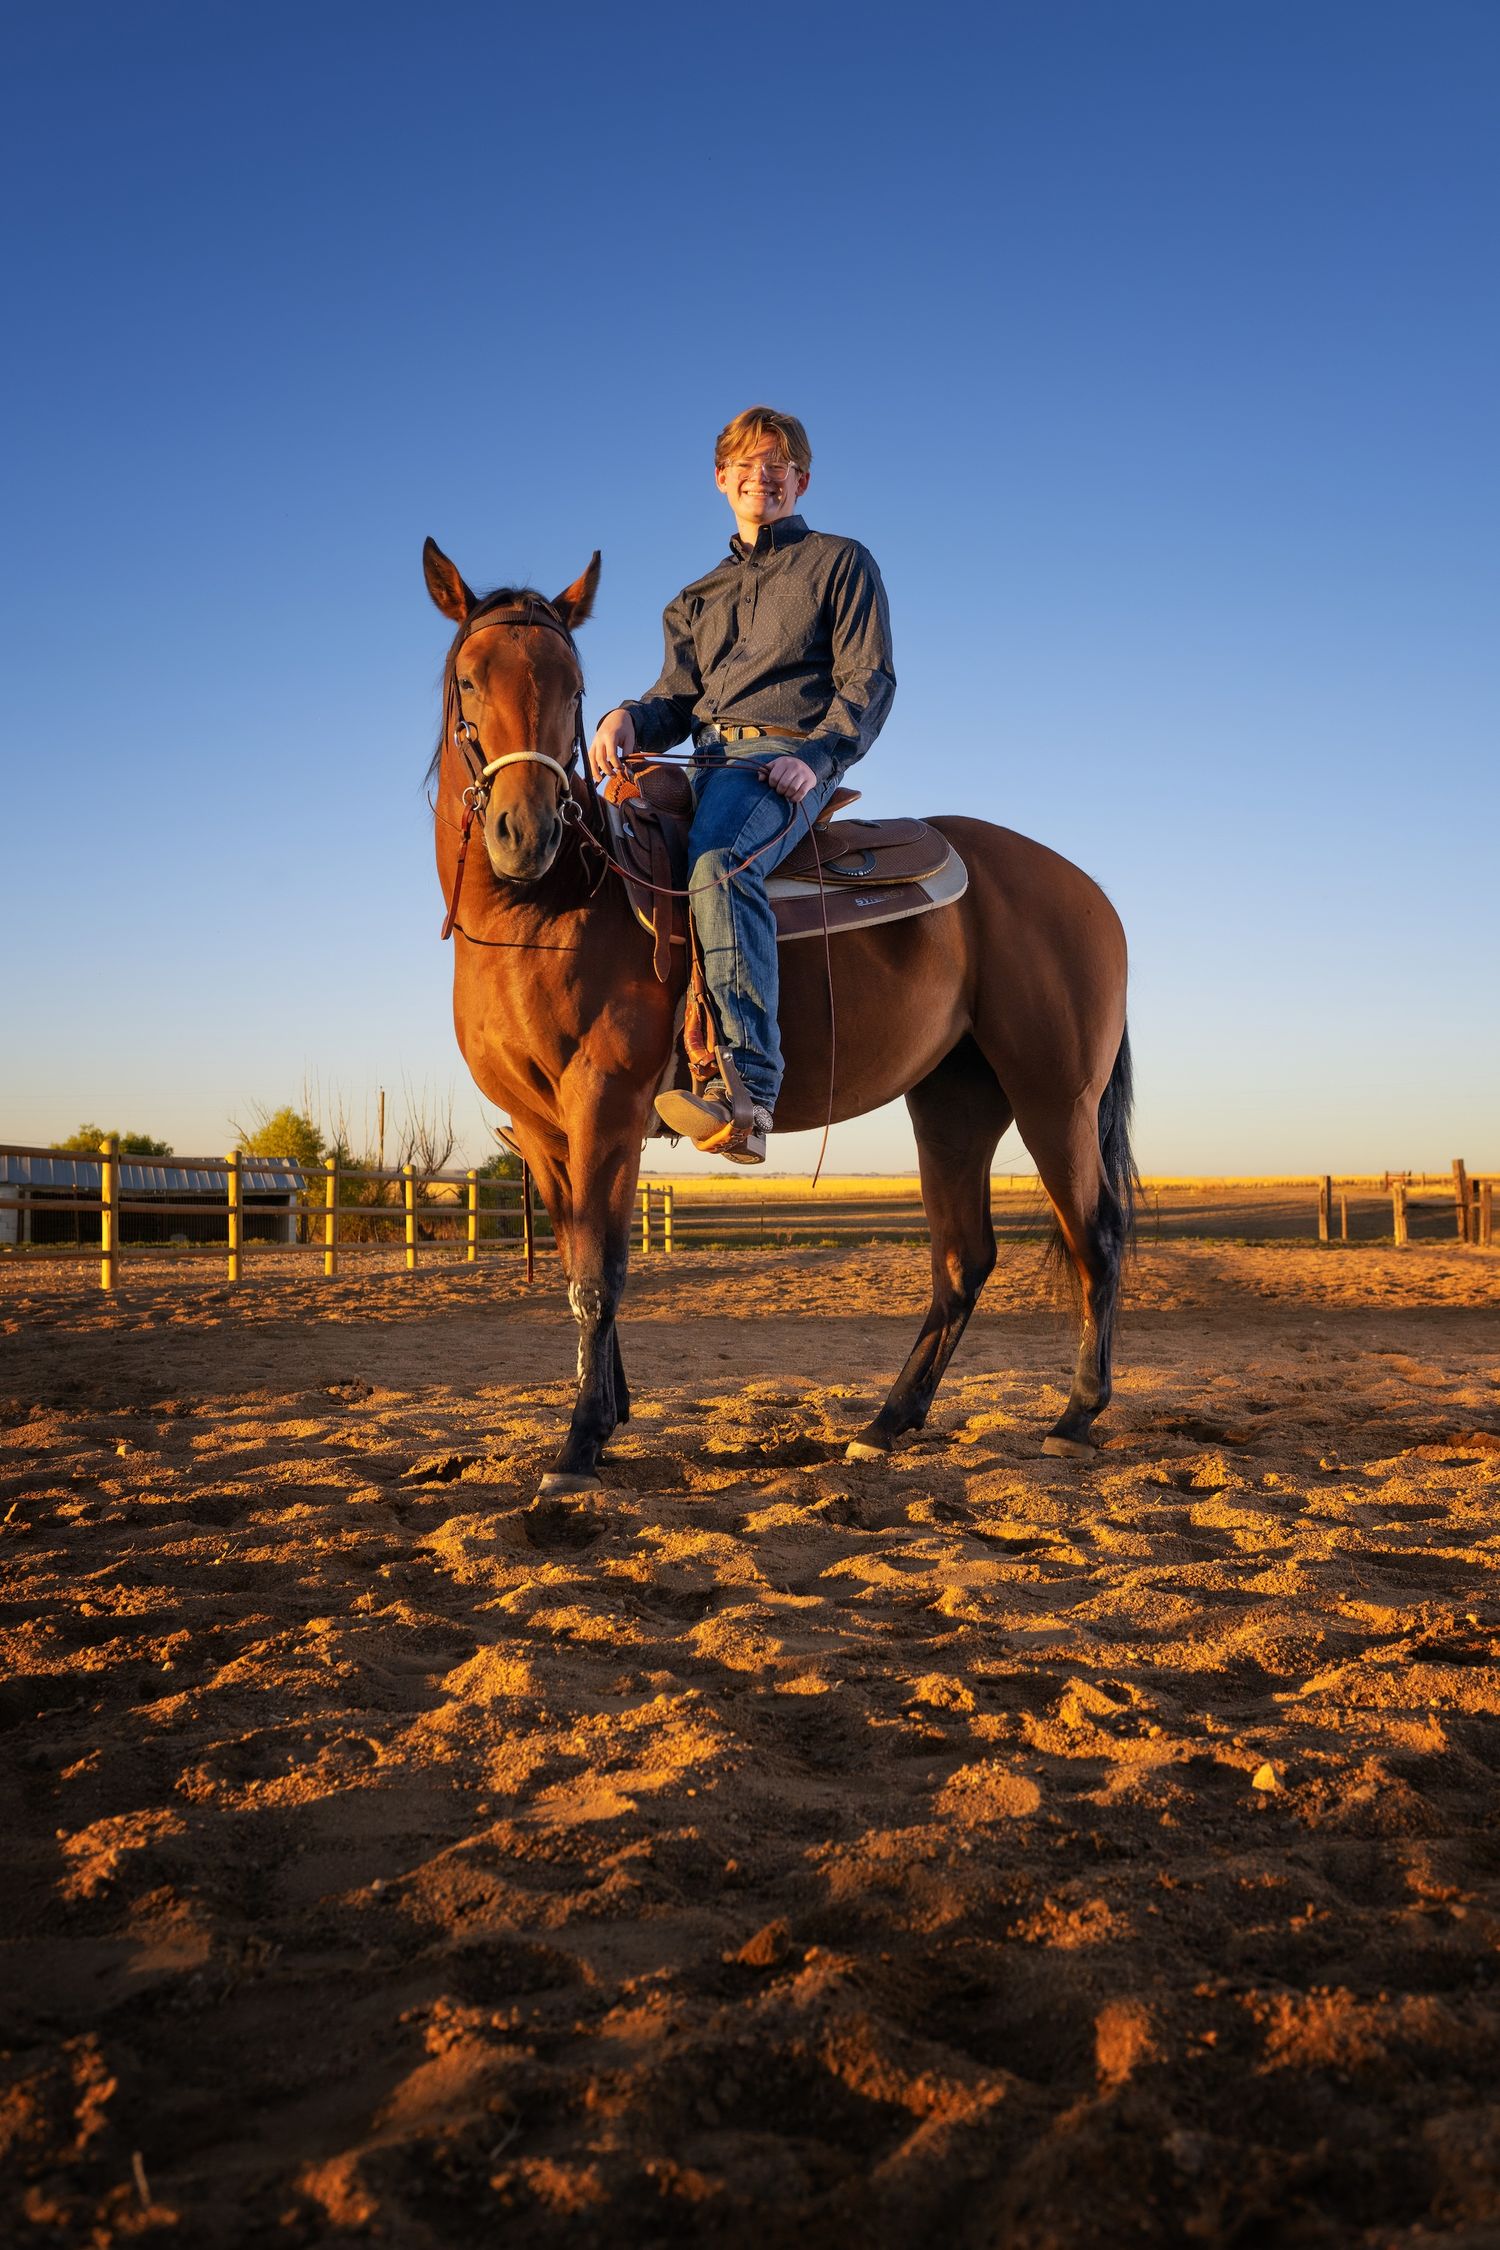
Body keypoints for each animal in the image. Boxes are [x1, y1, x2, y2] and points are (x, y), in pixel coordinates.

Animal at [423, 538, 1137, 1497]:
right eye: (468, 678)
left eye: (574, 685)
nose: (524, 832)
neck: (551, 909)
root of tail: (1085, 888)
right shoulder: (540, 1126)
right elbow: (577, 1269)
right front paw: (605, 1419)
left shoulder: (604, 1108)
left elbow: (600, 1275)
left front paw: (577, 1449)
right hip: (954, 1104)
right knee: (964, 1260)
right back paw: (888, 1422)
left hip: (1055, 1100)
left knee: (1095, 1239)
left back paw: (1075, 1418)